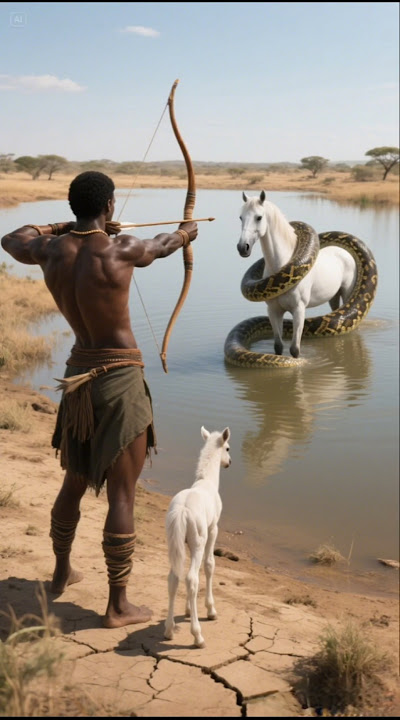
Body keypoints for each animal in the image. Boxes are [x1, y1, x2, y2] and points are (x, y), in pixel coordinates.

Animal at [164, 425, 231, 648]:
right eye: (228, 448)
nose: (229, 462)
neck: (206, 483)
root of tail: (182, 510)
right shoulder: (213, 529)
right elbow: (209, 565)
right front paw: (211, 610)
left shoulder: (185, 543)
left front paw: (186, 610)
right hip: (199, 542)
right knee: (191, 578)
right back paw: (198, 636)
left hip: (176, 544)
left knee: (174, 578)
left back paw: (168, 630)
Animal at [236, 190, 358, 360]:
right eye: (240, 217)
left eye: (259, 217)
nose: (243, 247)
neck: (280, 262)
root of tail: (343, 251)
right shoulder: (273, 310)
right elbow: (278, 346)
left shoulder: (299, 310)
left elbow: (295, 349)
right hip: (334, 295)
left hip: (347, 292)